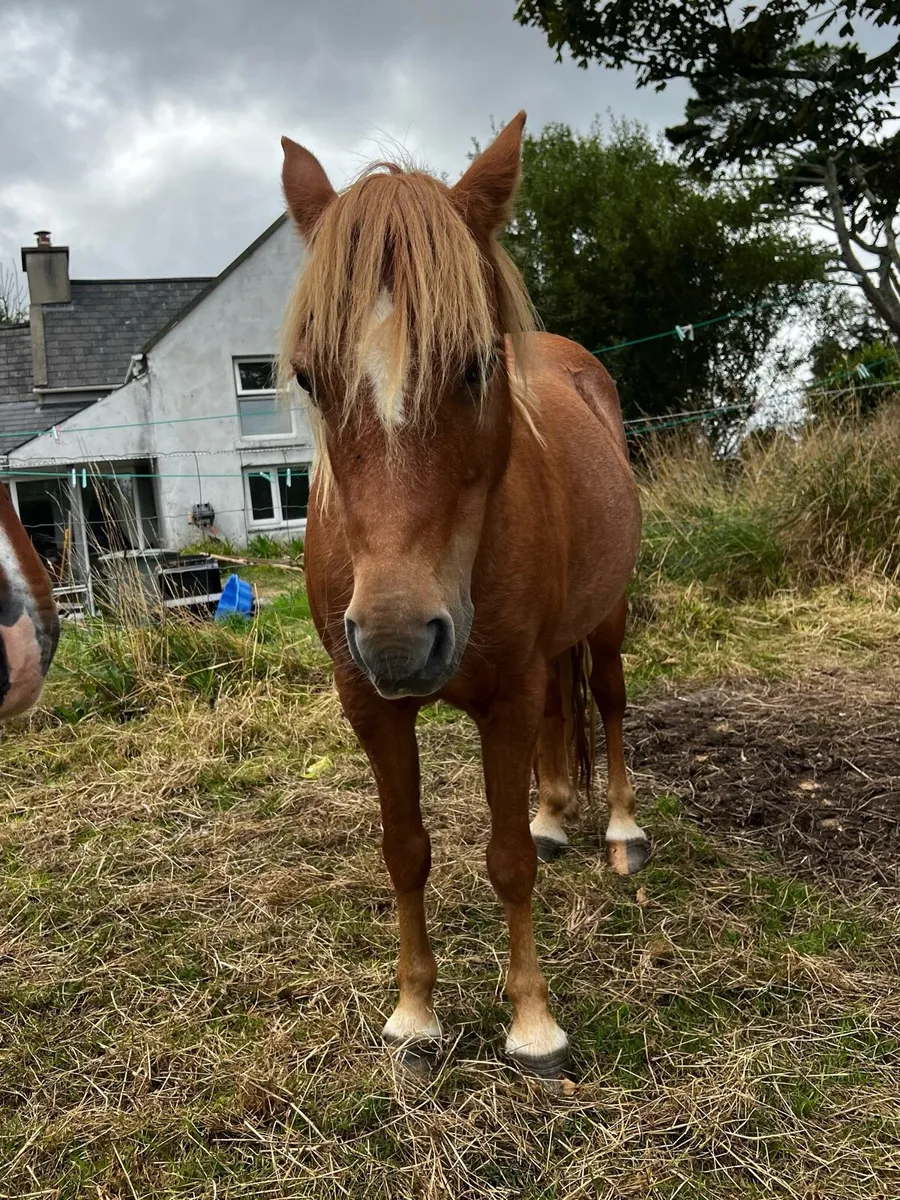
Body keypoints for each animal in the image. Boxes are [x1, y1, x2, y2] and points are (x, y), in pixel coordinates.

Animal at [280, 112, 648, 1080]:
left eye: (478, 365)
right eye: (307, 377)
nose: (399, 639)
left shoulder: (508, 693)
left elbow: (508, 858)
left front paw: (533, 1025)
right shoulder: (370, 704)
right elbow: (405, 851)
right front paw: (414, 1015)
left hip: (606, 619)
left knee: (608, 701)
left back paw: (620, 831)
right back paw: (558, 811)